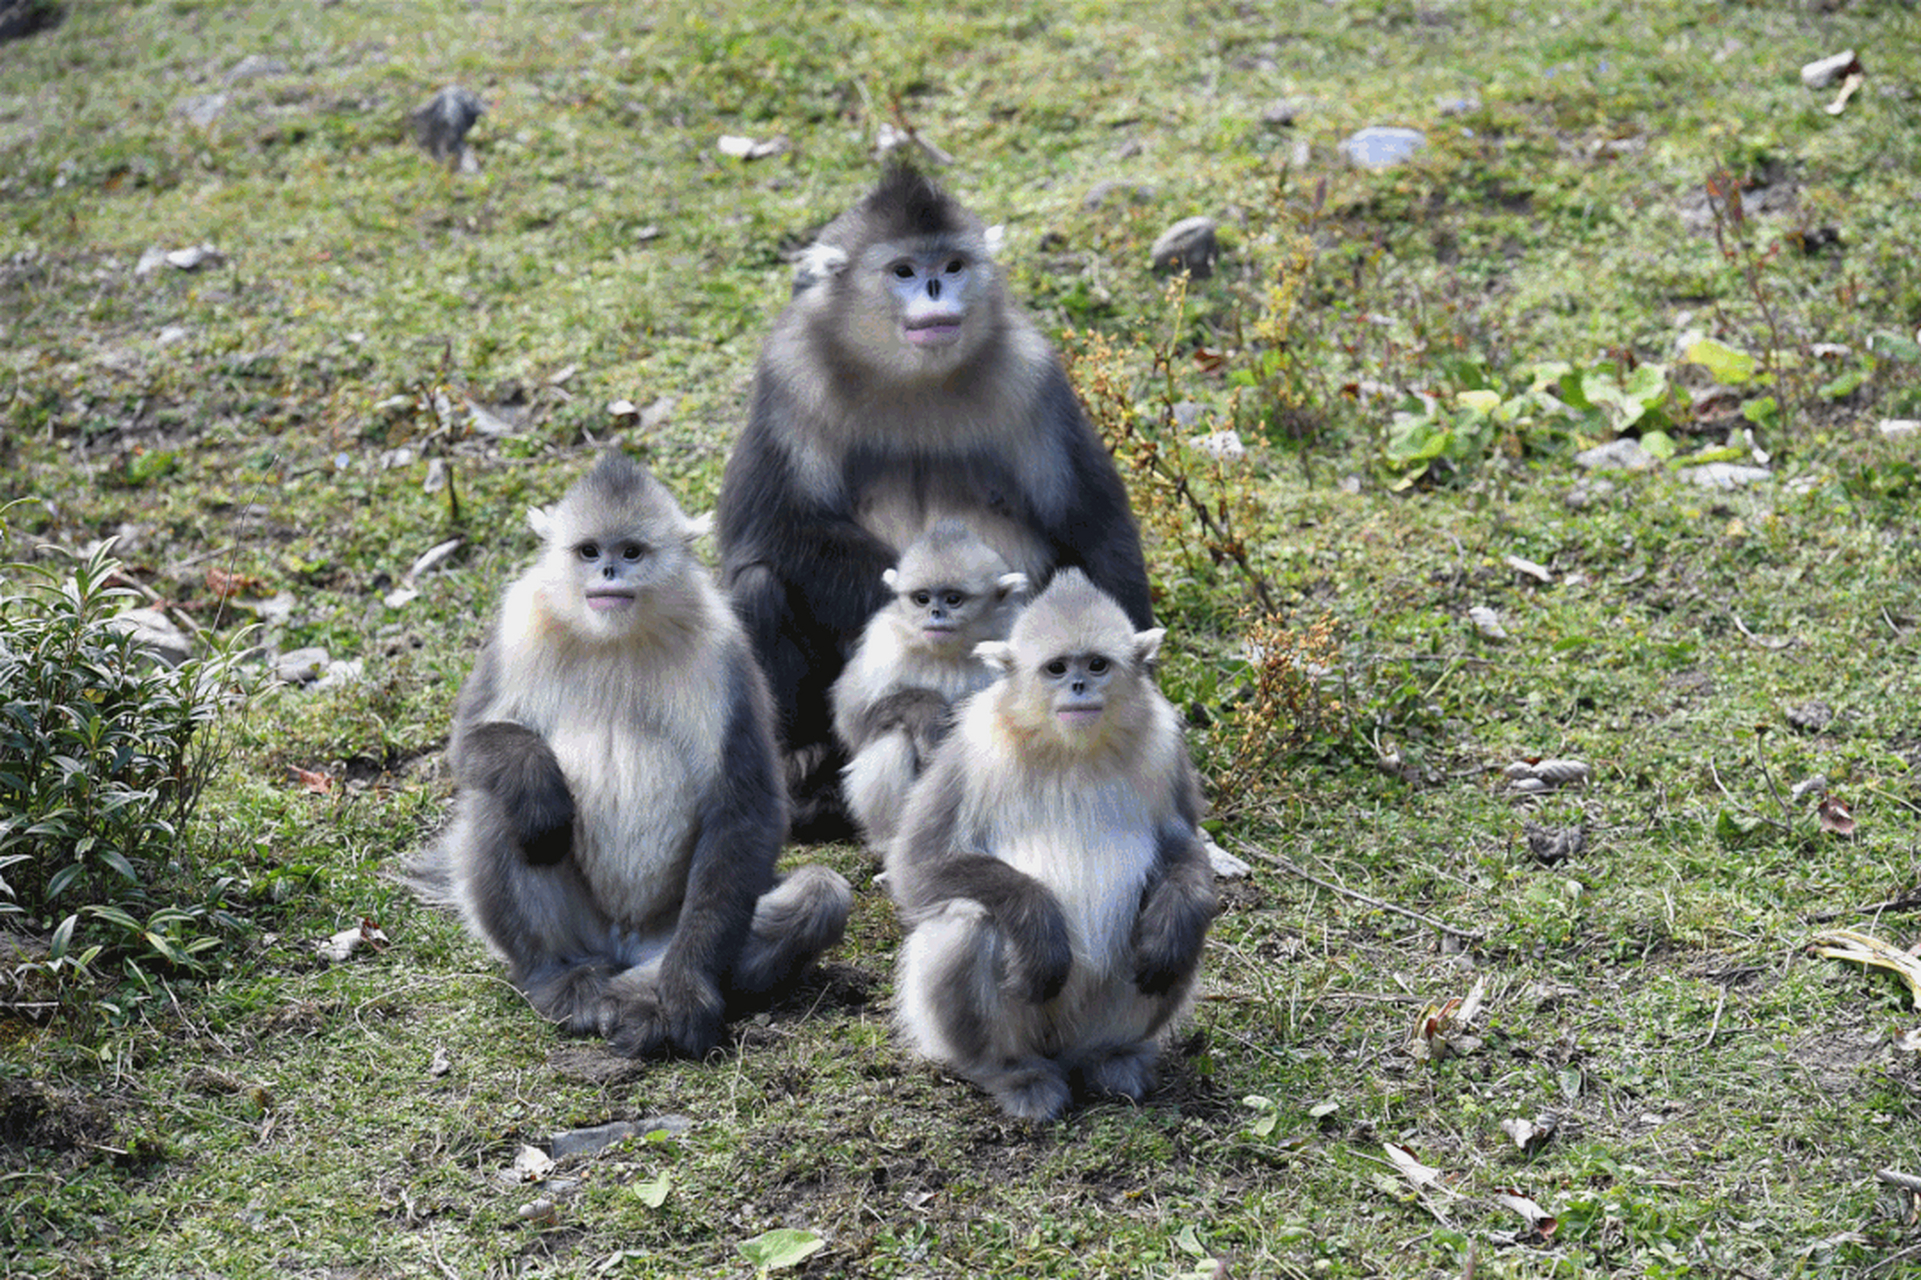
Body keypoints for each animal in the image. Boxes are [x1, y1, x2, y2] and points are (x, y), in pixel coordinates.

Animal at [411, 451, 849, 1053]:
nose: (609, 575)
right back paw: (560, 978)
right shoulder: (521, 622)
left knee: (822, 894)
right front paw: (536, 785)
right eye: (590, 551)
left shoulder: (726, 649)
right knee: (502, 808)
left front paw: (686, 992)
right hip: (583, 929)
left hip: (667, 930)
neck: (615, 637)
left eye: (632, 552)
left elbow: (746, 808)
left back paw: (640, 997)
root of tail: (623, 942)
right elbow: (472, 745)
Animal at [829, 518, 1029, 845]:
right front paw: (928, 711)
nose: (935, 613)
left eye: (953, 599)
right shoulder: (883, 644)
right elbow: (854, 721)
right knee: (895, 736)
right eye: (922, 599)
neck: (948, 653)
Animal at [883, 568, 1214, 1114]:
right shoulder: (971, 750)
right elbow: (917, 869)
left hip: (1088, 1025)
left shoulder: (1165, 747)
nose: (1079, 686)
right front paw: (1039, 925)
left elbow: (1183, 849)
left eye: (1097, 665)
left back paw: (1112, 1057)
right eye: (1057, 669)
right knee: (970, 919)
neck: (1071, 752)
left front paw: (1172, 925)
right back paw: (1013, 1073)